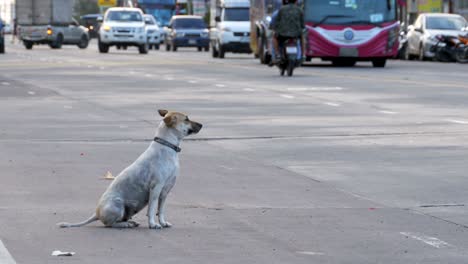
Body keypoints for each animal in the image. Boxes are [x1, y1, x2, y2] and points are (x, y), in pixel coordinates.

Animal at [56, 110, 201, 229]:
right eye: (187, 119)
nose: (202, 124)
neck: (167, 146)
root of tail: (96, 213)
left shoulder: (165, 191)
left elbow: (161, 210)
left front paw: (163, 222)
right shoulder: (156, 188)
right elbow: (152, 209)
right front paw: (153, 224)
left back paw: (130, 222)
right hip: (117, 205)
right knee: (110, 224)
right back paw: (126, 224)